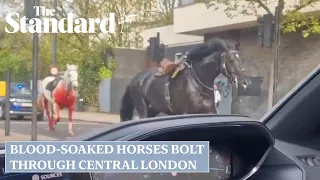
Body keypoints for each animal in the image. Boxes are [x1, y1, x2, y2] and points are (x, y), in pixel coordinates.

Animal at [120, 38, 250, 122]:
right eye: (230, 60)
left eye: (242, 60)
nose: (244, 82)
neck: (198, 82)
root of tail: (135, 80)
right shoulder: (187, 113)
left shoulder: (210, 111)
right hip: (142, 107)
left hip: (154, 108)